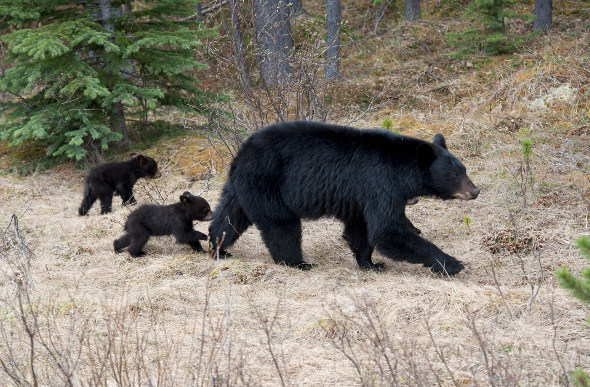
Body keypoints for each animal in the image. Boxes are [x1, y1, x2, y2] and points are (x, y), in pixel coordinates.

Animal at [209, 119, 480, 274]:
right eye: (454, 174)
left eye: (464, 169)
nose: (475, 191)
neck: (401, 169)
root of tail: (243, 150)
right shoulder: (379, 183)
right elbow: (387, 231)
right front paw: (452, 263)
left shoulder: (360, 197)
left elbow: (360, 230)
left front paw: (370, 264)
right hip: (268, 183)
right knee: (281, 226)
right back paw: (297, 262)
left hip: (240, 186)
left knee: (228, 217)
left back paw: (218, 248)